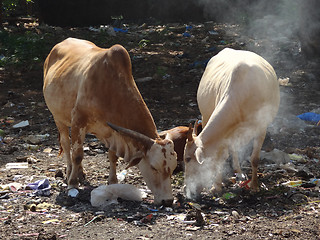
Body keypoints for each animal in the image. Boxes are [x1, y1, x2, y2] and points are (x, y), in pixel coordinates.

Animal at [42, 38, 178, 206]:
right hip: (58, 117)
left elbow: (113, 156)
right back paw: (69, 172)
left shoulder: (114, 132)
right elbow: (77, 155)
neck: (110, 91)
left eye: (173, 168)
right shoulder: (78, 120)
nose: (168, 201)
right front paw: (72, 184)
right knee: (67, 145)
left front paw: (113, 182)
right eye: (154, 167)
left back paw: (80, 172)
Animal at [184, 47, 278, 199]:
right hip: (207, 116)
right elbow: (219, 158)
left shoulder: (261, 126)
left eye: (187, 158)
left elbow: (255, 158)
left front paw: (255, 186)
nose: (186, 189)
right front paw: (216, 186)